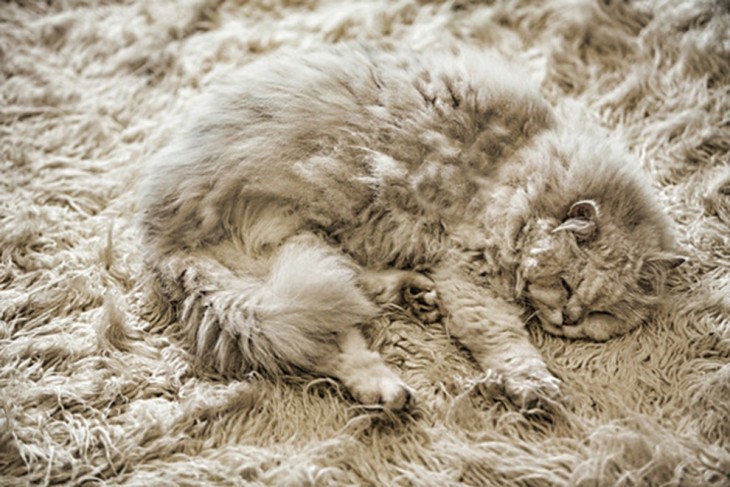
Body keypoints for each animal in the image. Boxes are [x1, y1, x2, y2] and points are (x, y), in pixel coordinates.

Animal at [138, 44, 684, 412]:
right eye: (567, 284)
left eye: (600, 313)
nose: (570, 320)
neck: (525, 170)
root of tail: (161, 241)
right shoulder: (471, 274)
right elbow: (506, 341)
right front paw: (535, 386)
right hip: (291, 268)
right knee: (329, 337)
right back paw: (394, 378)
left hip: (304, 268)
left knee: (344, 319)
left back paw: (411, 317)